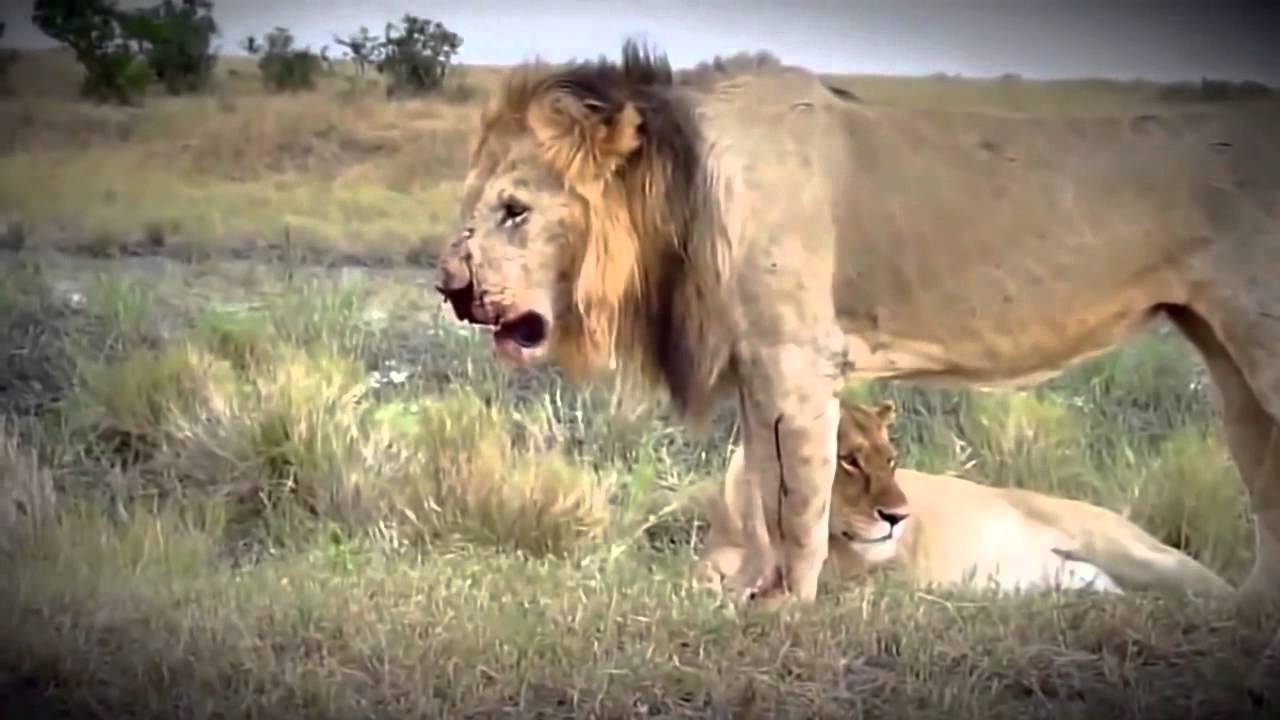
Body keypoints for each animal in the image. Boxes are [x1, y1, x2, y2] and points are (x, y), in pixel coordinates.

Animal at [695, 399, 1234, 600]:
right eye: (847, 461)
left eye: (891, 460)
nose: (898, 516)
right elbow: (706, 571)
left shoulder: (885, 573)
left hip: (1135, 552)